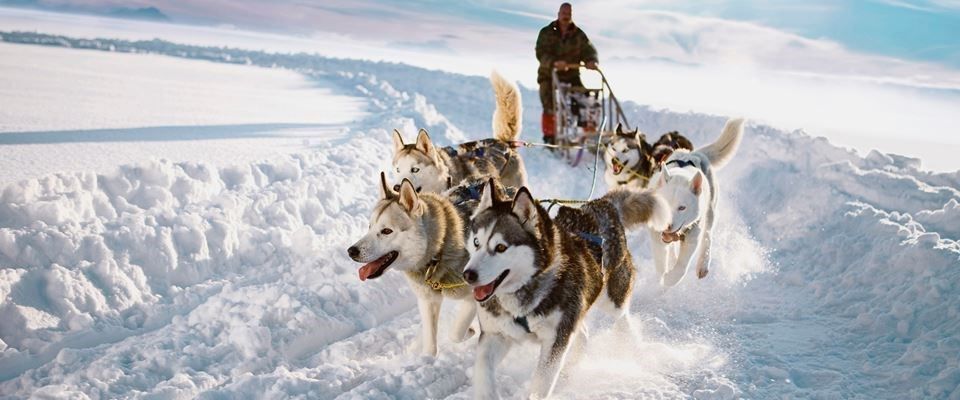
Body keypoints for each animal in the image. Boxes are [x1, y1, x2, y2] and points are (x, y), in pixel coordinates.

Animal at [346, 173, 478, 354]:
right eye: (369, 227)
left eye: (386, 231)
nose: (351, 251)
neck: (438, 252)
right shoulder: (428, 301)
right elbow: (430, 345)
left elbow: (456, 334)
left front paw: (470, 331)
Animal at [464, 179, 668, 400]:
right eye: (476, 242)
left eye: (501, 247)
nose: (468, 275)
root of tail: (601, 205)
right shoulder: (496, 335)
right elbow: (483, 372)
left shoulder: (555, 340)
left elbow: (541, 384)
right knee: (583, 332)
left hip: (611, 298)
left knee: (622, 317)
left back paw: (630, 345)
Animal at [648, 117, 748, 286]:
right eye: (664, 205)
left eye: (682, 208)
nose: (667, 225)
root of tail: (695, 153)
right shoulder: (656, 233)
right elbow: (660, 260)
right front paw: (663, 275)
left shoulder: (692, 236)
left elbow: (681, 268)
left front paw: (670, 279)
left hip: (710, 211)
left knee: (707, 236)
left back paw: (703, 264)